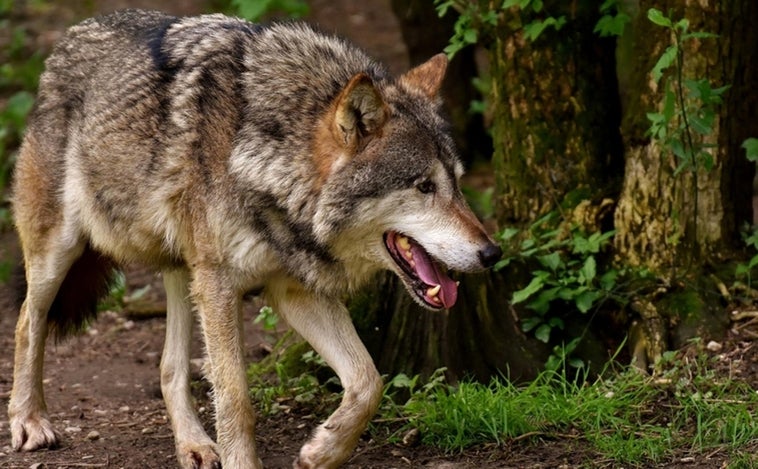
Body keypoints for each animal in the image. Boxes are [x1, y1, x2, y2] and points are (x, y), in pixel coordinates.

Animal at [8, 8, 504, 468]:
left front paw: (323, 451)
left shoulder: (293, 290)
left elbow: (369, 381)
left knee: (170, 369)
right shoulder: (222, 285)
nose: (492, 253)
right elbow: (236, 400)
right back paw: (29, 421)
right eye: (424, 186)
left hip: (185, 271)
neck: (269, 160)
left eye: (458, 184)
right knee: (27, 322)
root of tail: (71, 35)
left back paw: (194, 445)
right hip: (62, 252)